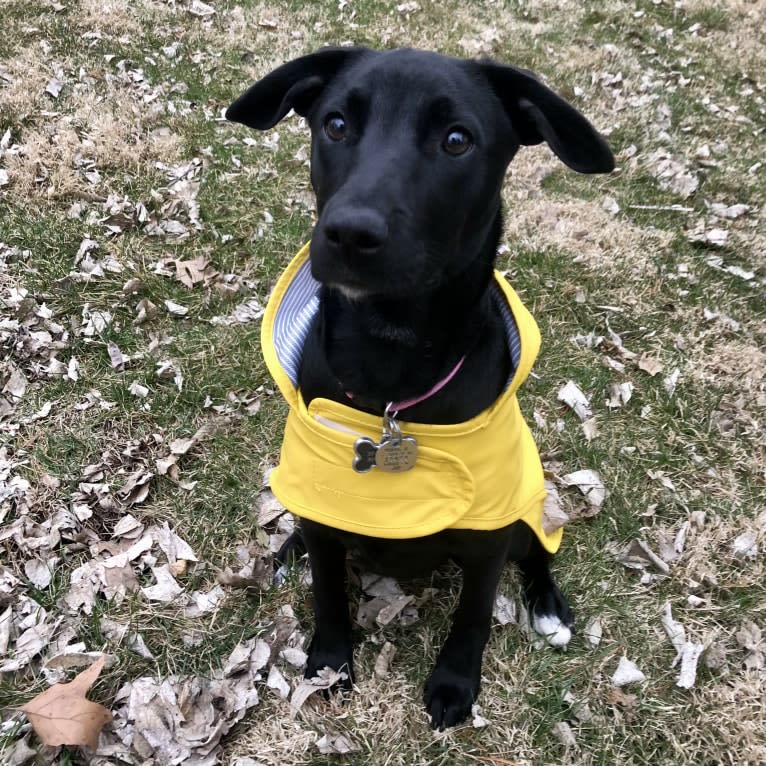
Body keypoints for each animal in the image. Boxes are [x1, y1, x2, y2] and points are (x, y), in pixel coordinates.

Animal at [225, 48, 616, 732]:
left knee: (537, 550)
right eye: (335, 124)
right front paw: (330, 662)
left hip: (522, 507)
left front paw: (455, 685)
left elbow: (474, 616)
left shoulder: (488, 531)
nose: (350, 233)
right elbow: (328, 593)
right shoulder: (324, 509)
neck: (391, 366)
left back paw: (547, 606)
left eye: (456, 140)